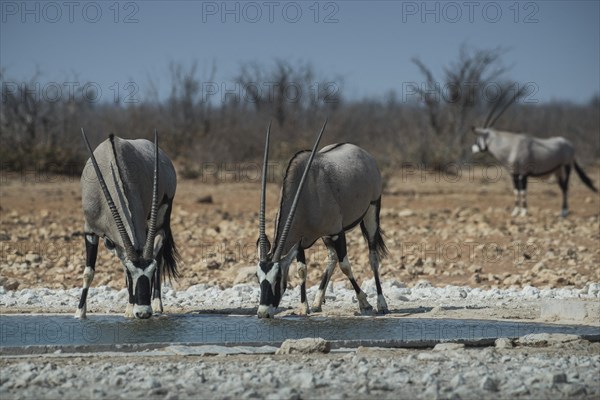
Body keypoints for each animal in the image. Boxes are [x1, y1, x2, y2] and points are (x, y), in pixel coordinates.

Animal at [76, 130, 178, 320]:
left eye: (151, 272)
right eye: (131, 274)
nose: (143, 313)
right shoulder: (90, 230)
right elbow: (89, 271)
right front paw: (80, 312)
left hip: (162, 216)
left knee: (160, 257)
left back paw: (156, 304)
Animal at [254, 120, 390, 318]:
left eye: (278, 276)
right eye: (257, 276)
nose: (263, 313)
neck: (307, 193)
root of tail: (362, 152)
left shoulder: (337, 232)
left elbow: (345, 266)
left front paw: (364, 303)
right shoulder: (301, 241)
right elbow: (302, 270)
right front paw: (304, 307)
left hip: (372, 210)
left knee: (372, 257)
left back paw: (382, 303)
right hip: (327, 236)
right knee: (332, 258)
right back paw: (318, 301)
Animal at [474, 89, 596, 217]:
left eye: (478, 137)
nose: (474, 148)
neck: (511, 145)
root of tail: (570, 145)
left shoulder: (523, 173)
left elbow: (523, 191)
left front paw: (524, 212)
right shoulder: (514, 174)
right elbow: (516, 191)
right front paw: (515, 211)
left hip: (566, 167)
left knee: (566, 187)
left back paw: (564, 212)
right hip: (557, 170)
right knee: (562, 187)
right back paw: (562, 212)